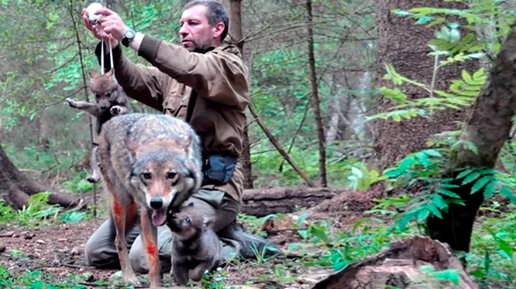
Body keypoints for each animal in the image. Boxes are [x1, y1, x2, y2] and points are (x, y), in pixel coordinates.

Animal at [97, 112, 202, 286]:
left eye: (171, 175)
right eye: (147, 175)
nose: (156, 203)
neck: (161, 136)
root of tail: (109, 122)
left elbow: (175, 246)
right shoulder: (146, 213)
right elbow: (153, 257)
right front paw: (155, 284)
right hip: (121, 203)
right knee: (119, 241)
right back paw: (129, 278)